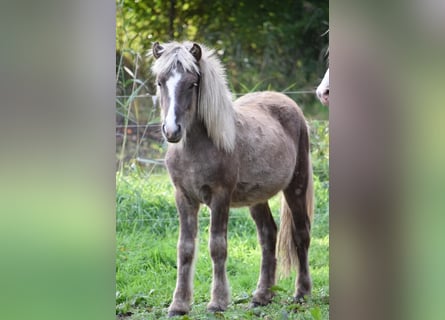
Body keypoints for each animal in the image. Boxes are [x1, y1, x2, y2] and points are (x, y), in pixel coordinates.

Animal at [151, 41, 314, 316]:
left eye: (192, 83)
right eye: (160, 82)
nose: (172, 130)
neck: (197, 147)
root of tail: (288, 102)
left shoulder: (220, 197)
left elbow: (217, 246)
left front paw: (217, 302)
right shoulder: (183, 197)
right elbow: (185, 249)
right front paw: (179, 305)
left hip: (296, 187)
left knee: (301, 234)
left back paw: (301, 293)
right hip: (257, 199)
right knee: (268, 235)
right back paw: (262, 296)